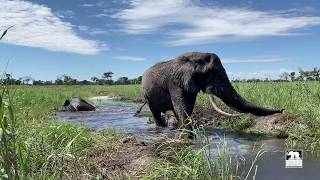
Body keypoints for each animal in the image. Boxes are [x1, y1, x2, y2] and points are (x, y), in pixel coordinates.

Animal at [141, 51, 284, 132]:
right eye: (210, 73)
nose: (282, 110)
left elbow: (187, 107)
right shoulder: (175, 82)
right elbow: (181, 107)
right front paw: (187, 139)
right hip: (147, 94)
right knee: (155, 112)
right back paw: (162, 127)